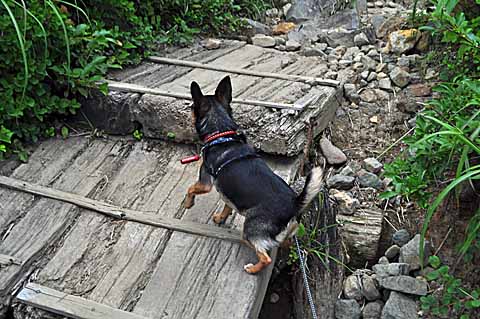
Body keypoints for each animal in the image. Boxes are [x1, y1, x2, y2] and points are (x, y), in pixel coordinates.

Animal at [184, 75, 322, 276]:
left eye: (193, 108)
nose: (188, 110)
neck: (221, 134)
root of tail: (295, 204)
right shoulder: (227, 193)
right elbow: (227, 206)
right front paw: (220, 218)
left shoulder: (205, 183)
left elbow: (190, 188)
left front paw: (188, 203)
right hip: (287, 235)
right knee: (285, 245)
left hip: (250, 231)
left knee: (265, 257)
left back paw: (252, 268)